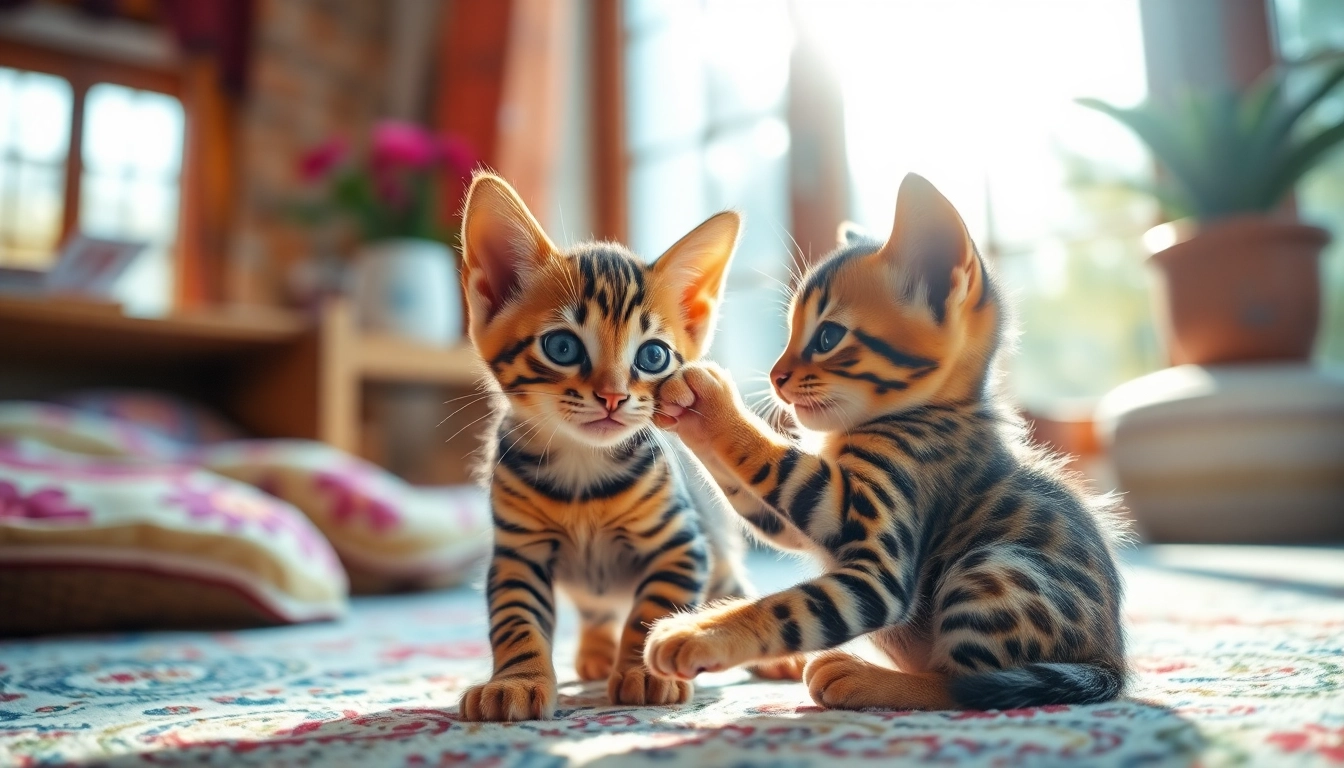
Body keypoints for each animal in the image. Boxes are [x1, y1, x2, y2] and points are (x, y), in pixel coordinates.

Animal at [456, 172, 801, 720]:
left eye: (653, 356)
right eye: (562, 347)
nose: (613, 396)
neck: (583, 472)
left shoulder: (680, 543)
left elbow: (653, 610)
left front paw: (643, 671)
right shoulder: (517, 554)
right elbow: (516, 620)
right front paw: (516, 680)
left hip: (715, 544)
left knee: (729, 587)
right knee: (597, 610)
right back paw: (596, 651)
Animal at [645, 172, 1128, 710]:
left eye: (828, 337)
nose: (775, 376)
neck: (928, 413)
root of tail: (1110, 664)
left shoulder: (874, 555)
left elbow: (791, 592)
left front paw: (697, 634)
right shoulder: (797, 527)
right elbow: (756, 502)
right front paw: (688, 407)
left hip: (994, 567)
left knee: (965, 686)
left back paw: (860, 676)